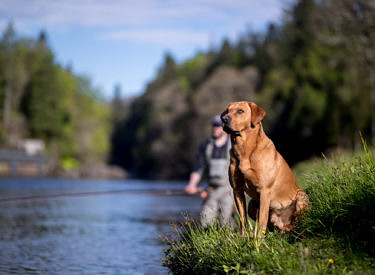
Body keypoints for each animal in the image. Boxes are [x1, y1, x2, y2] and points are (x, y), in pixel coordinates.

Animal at [220, 102, 308, 236]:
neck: (244, 149)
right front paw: (243, 237)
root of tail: (282, 223)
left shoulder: (264, 191)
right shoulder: (237, 189)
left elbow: (262, 220)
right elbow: (242, 219)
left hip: (301, 196)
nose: (224, 119)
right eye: (227, 111)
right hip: (252, 204)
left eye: (240, 111)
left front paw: (258, 239)